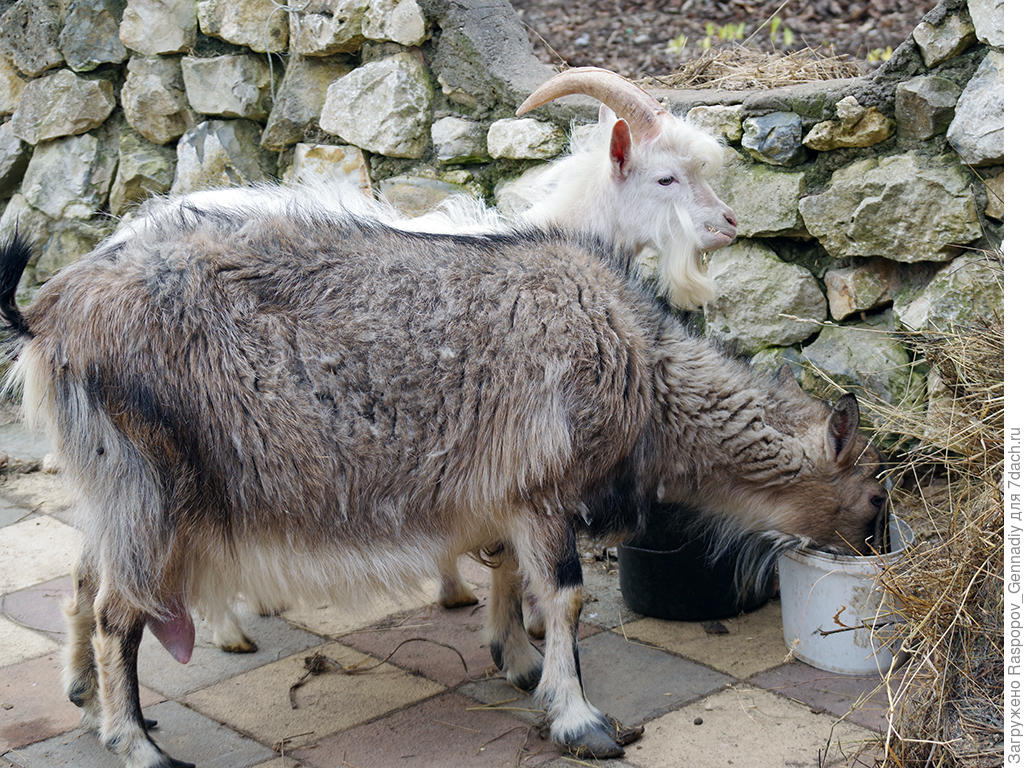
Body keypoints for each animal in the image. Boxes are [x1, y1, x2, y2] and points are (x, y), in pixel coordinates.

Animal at [0, 199, 884, 768]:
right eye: (875, 497)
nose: (876, 553)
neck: (639, 362)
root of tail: (51, 316)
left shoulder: (503, 486)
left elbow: (508, 569)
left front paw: (516, 659)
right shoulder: (544, 484)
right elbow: (565, 595)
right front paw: (579, 719)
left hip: (112, 485)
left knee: (85, 578)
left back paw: (83, 694)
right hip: (154, 486)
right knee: (120, 611)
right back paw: (136, 742)